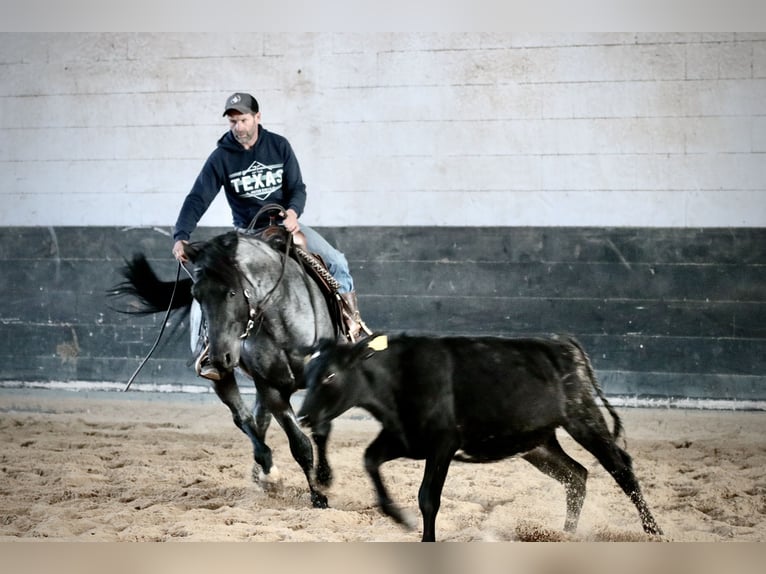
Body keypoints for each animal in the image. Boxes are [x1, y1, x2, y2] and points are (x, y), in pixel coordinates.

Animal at [109, 228, 341, 508]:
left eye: (232, 293)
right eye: (197, 295)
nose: (220, 356)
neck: (281, 321)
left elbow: (319, 429)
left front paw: (323, 480)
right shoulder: (271, 387)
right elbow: (299, 444)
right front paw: (315, 495)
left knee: (261, 420)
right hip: (224, 379)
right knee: (246, 419)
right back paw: (267, 474)